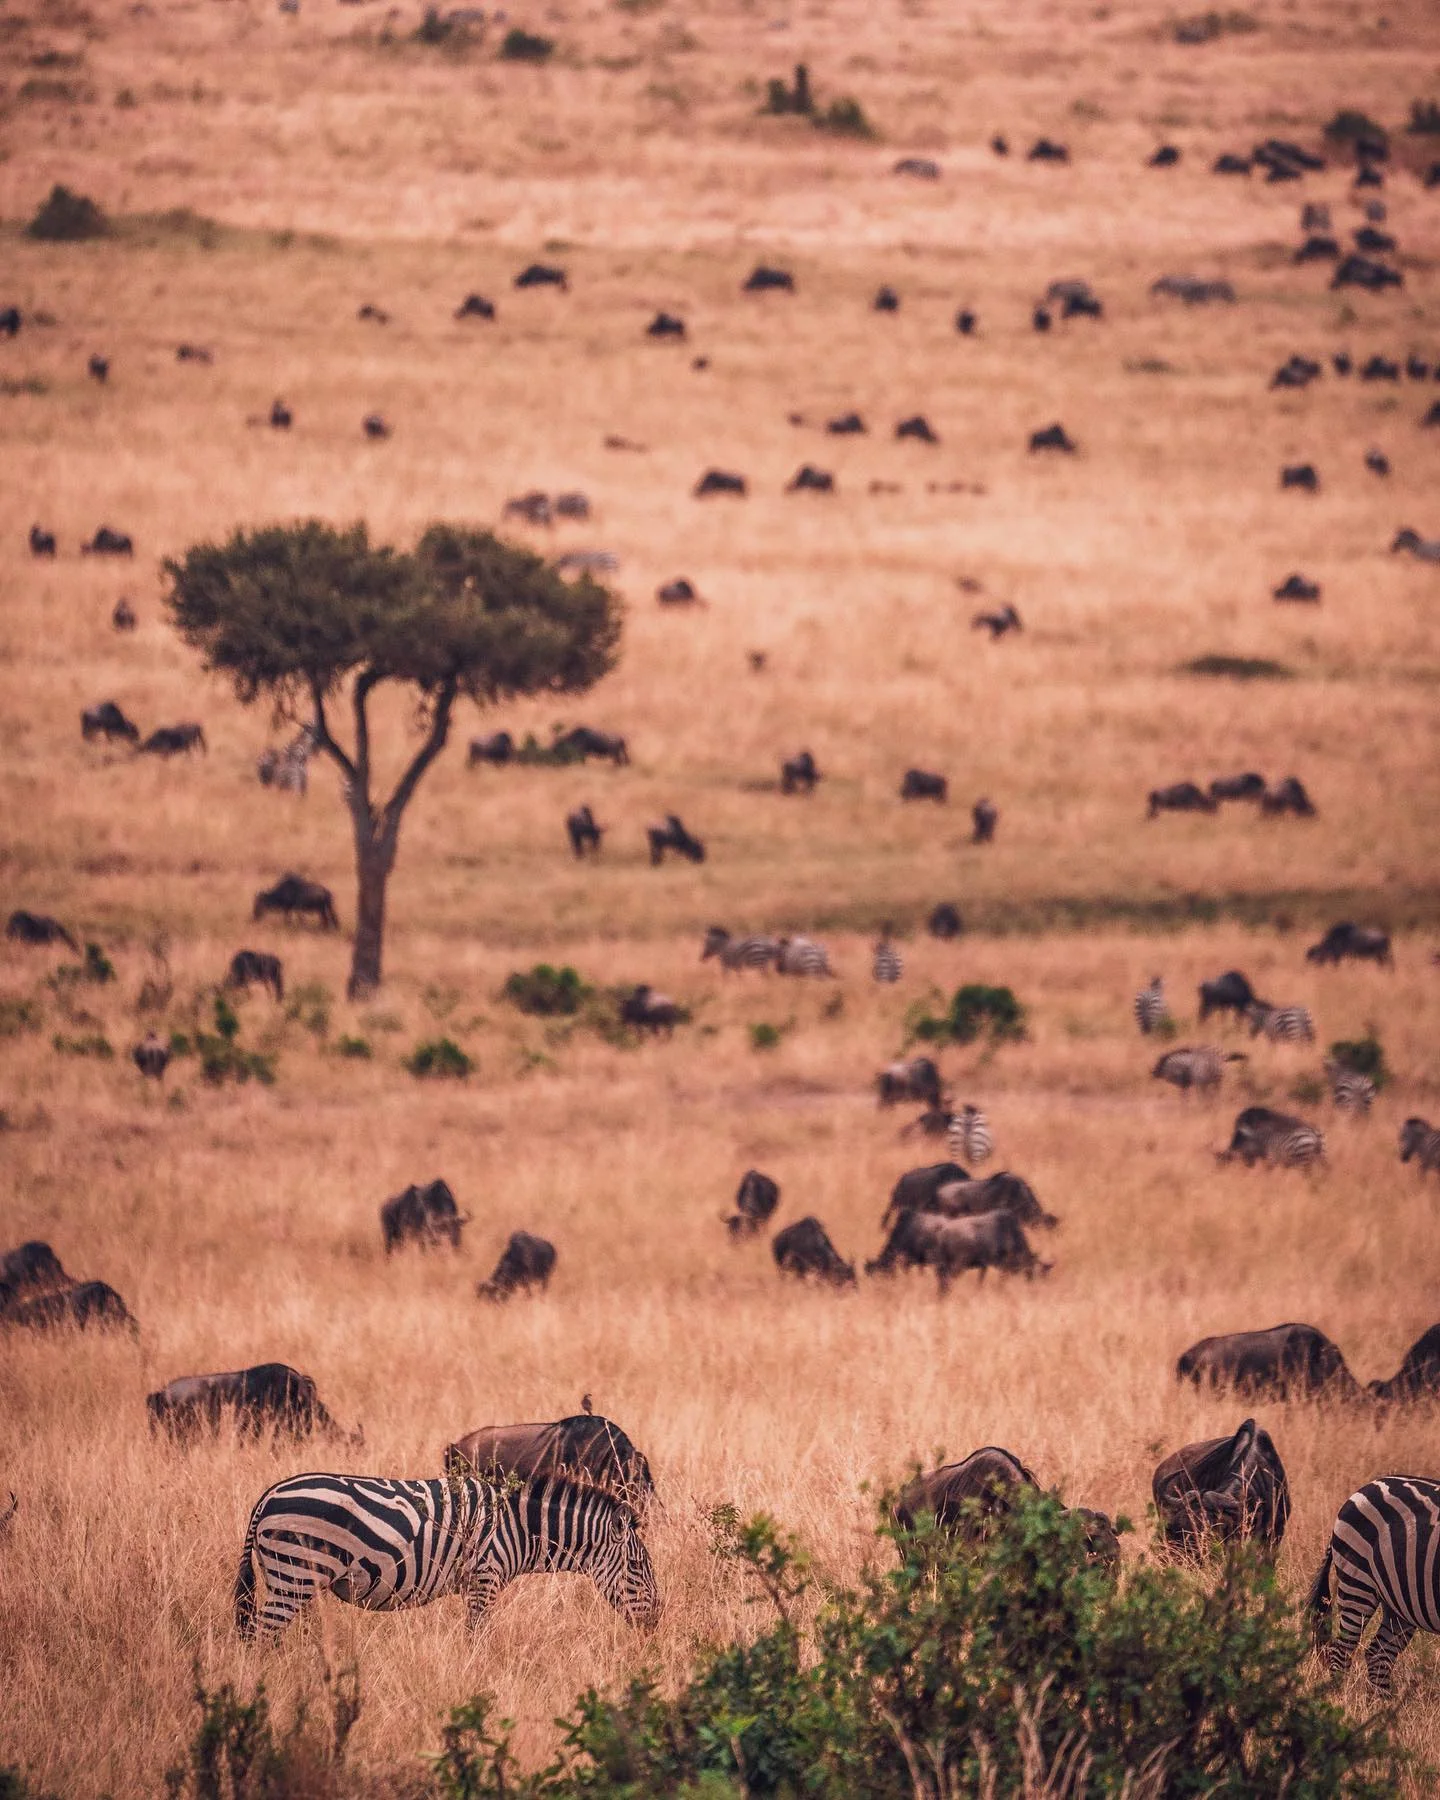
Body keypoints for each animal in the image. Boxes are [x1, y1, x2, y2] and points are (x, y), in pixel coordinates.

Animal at [234, 1471, 658, 1643]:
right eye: (638, 1567)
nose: (656, 1624)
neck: (519, 1527)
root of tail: (268, 1496)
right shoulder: (485, 1576)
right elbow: (476, 1637)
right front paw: (478, 1679)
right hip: (293, 1576)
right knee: (259, 1638)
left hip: (290, 1578)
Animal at [1309, 1476, 1440, 1693]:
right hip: (1358, 1584)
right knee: (1342, 1651)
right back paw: (1339, 1698)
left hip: (1399, 1602)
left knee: (1379, 1654)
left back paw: (1382, 1702)